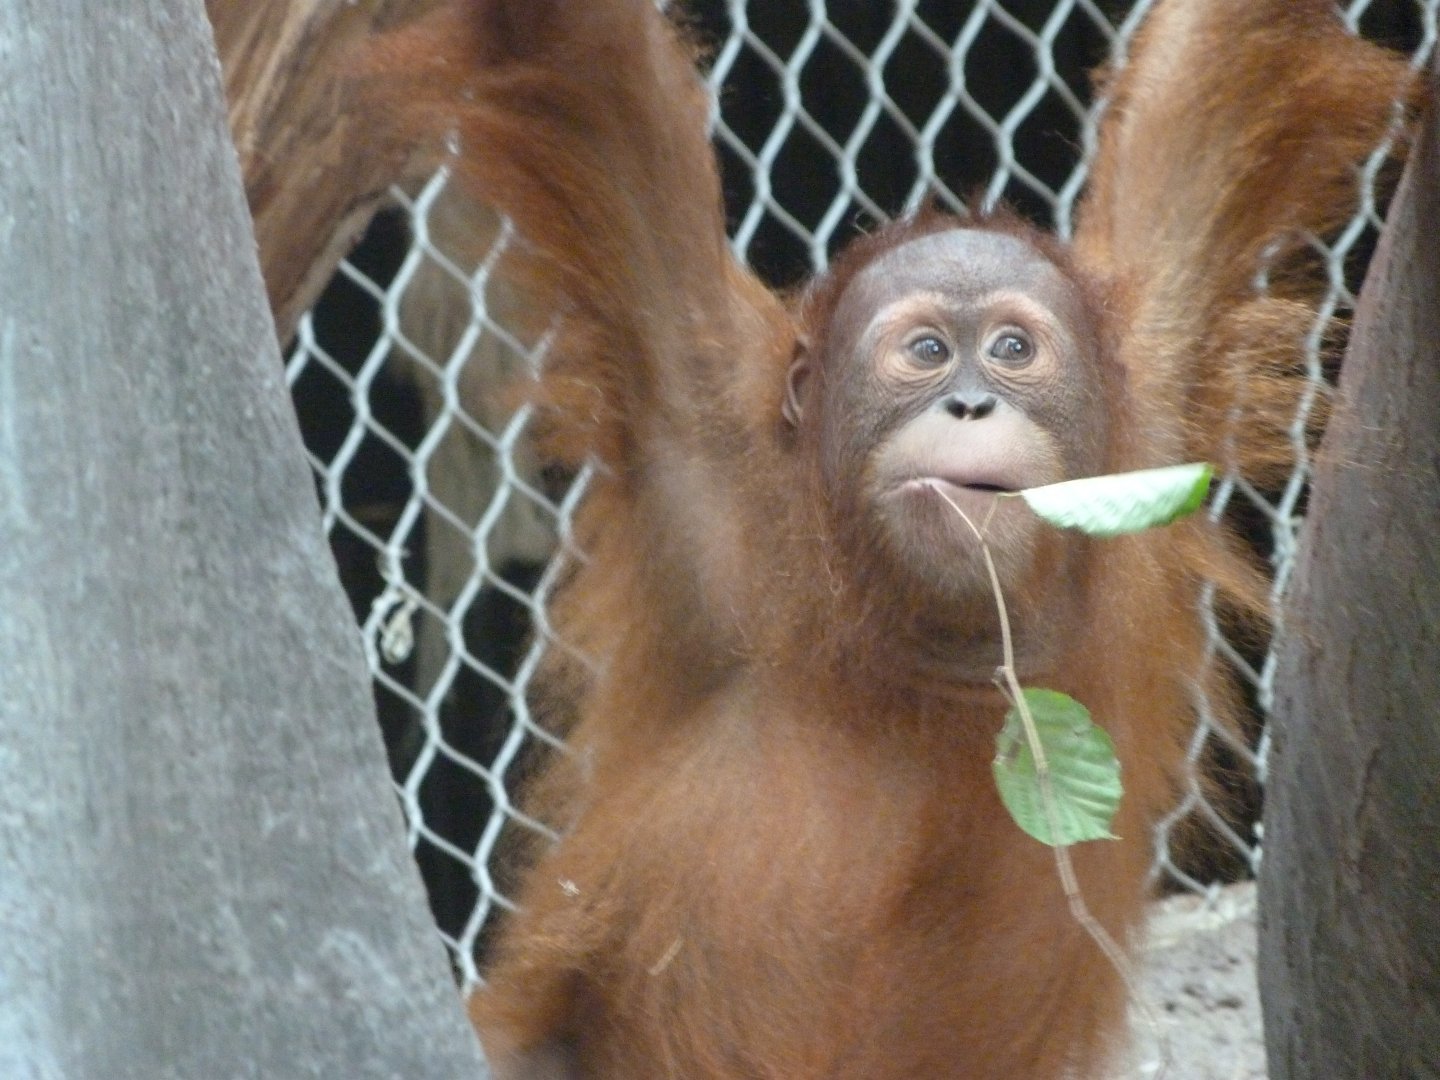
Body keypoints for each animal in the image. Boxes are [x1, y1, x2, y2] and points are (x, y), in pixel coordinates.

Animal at [370, 1, 1411, 1075]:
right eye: (924, 351)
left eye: (1012, 347)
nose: (969, 402)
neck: (929, 646)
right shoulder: (700, 422)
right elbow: (587, 73)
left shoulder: (1152, 386)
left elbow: (1211, 69)